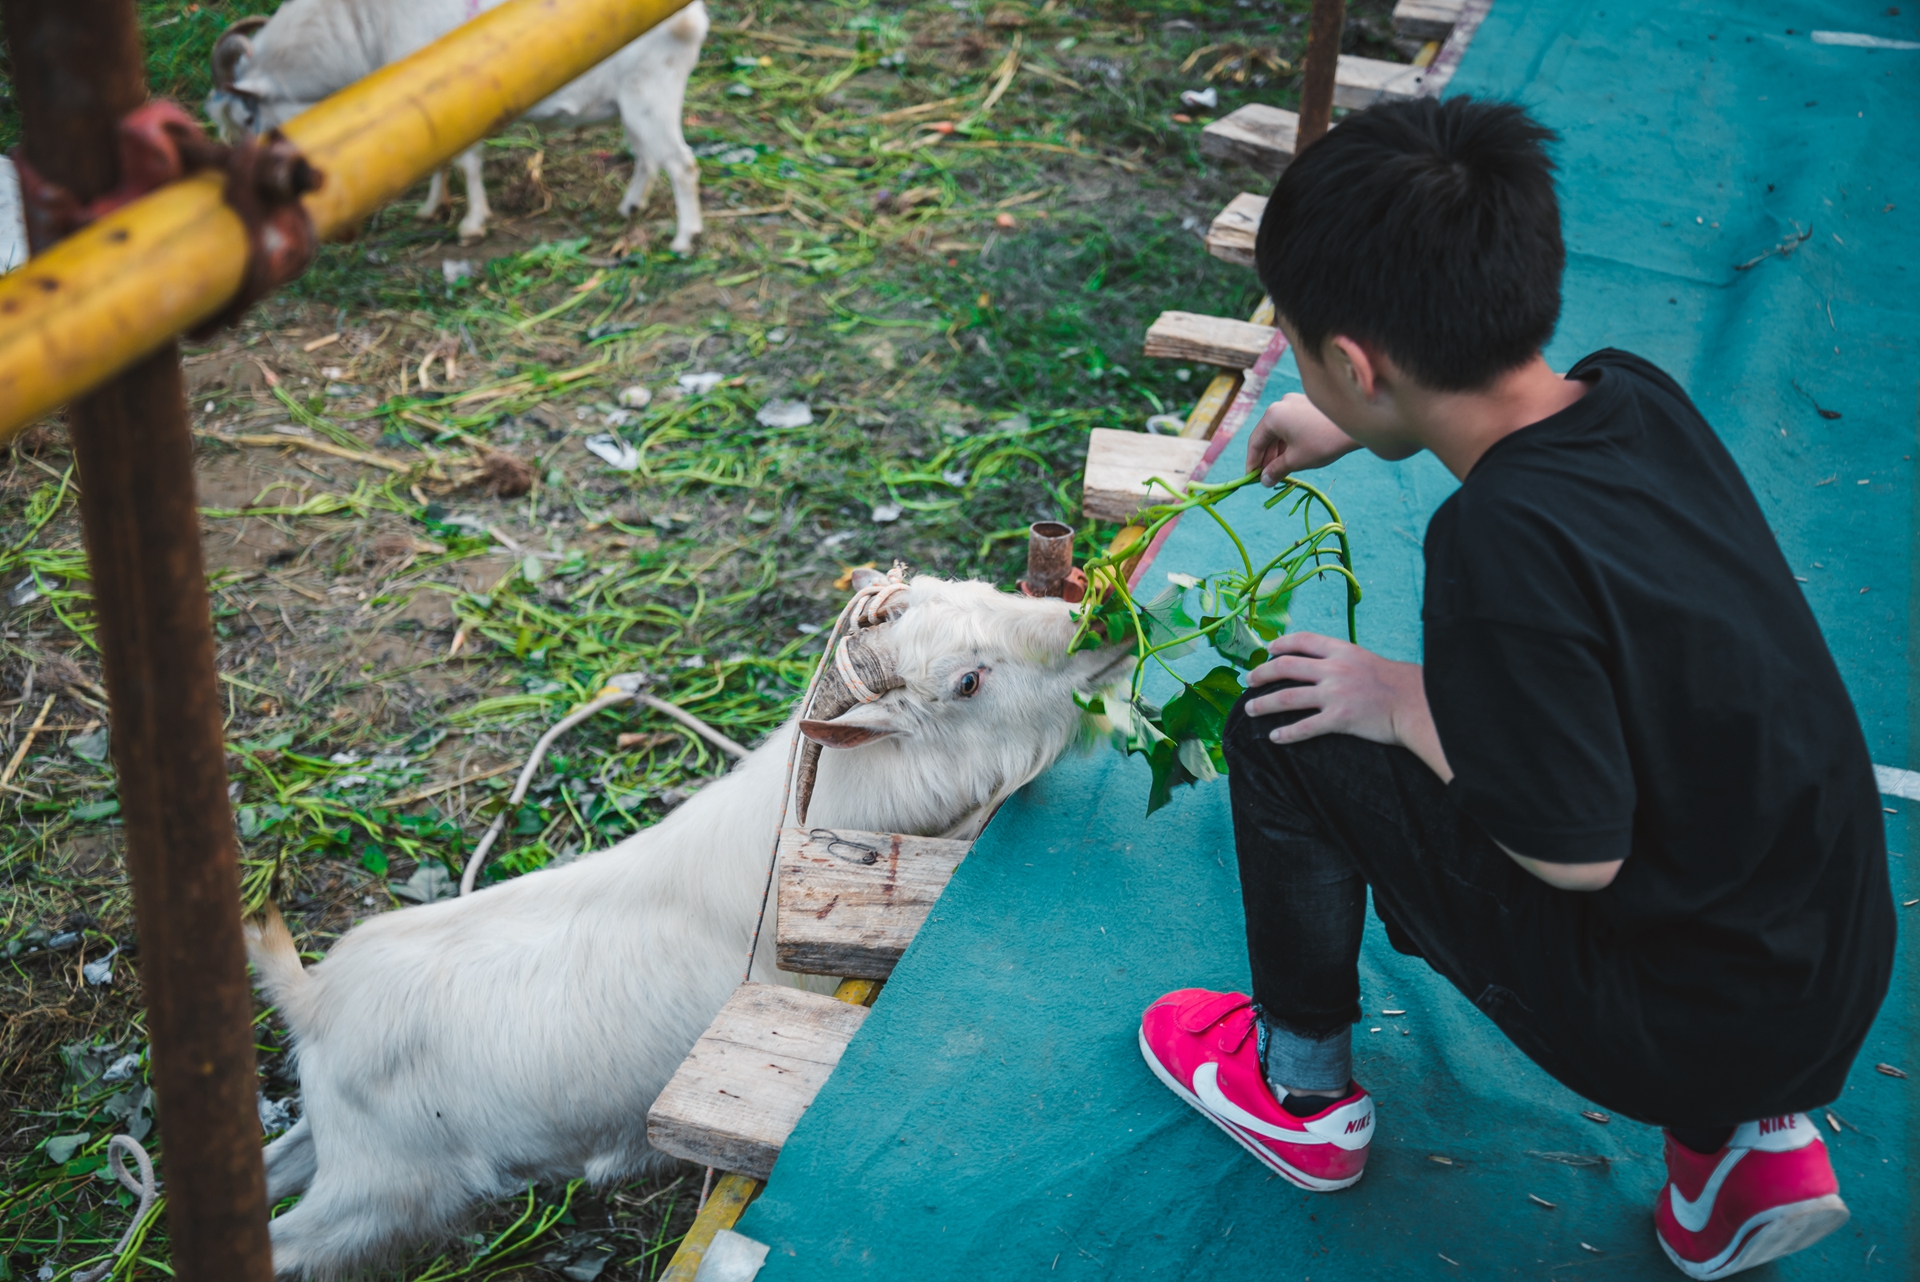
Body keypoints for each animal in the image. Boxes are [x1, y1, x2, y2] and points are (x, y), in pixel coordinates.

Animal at [204, 0, 714, 249]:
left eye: (248, 116)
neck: (360, 26)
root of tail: (693, 18)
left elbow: (467, 160)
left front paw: (471, 225)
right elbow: (438, 158)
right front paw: (432, 208)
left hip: (651, 95)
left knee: (681, 164)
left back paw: (684, 239)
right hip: (635, 104)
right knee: (648, 157)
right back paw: (630, 207)